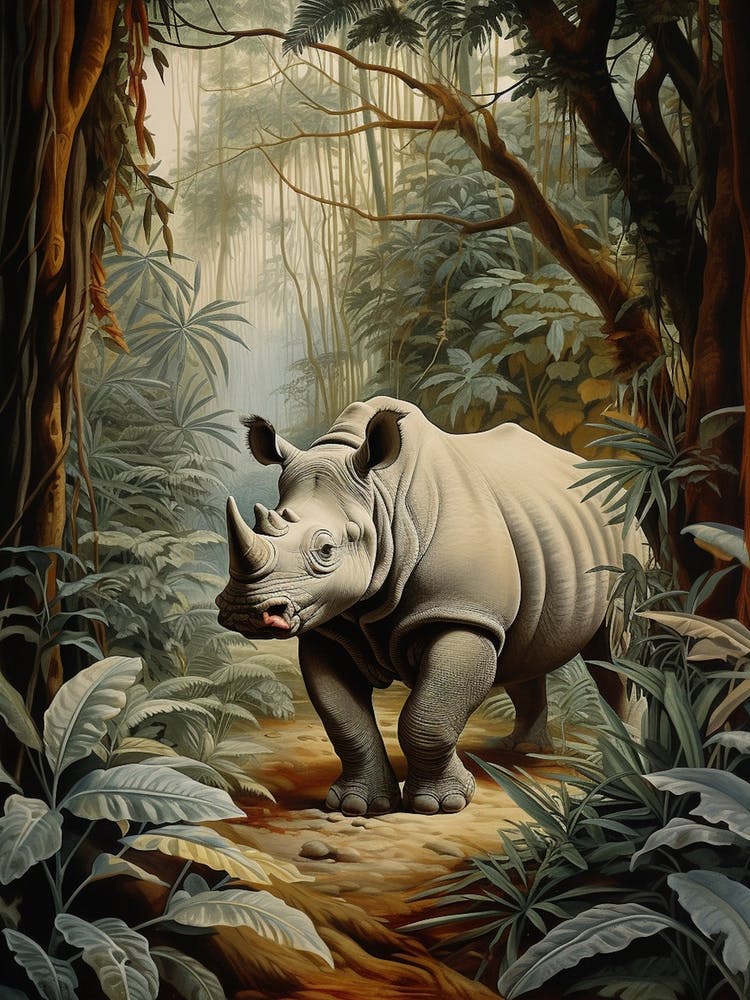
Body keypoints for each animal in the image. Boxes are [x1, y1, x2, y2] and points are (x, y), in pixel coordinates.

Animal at [216, 396, 644, 816]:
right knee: (525, 647)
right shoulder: (331, 626)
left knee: (614, 653)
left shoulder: (462, 611)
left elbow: (428, 717)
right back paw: (522, 749)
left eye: (325, 550)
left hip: (627, 537)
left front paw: (440, 805)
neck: (381, 501)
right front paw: (358, 805)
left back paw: (623, 753)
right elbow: (343, 719)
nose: (245, 612)